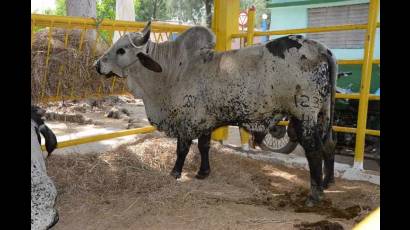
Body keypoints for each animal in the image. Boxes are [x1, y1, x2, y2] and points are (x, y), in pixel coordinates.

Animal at [95, 22, 336, 207]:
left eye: (121, 50)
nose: (97, 64)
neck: (172, 71)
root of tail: (321, 48)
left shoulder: (187, 121)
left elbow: (182, 149)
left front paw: (175, 173)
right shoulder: (205, 121)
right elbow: (204, 146)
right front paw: (203, 172)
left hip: (305, 115)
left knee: (314, 150)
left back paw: (314, 195)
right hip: (323, 114)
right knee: (329, 145)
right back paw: (327, 182)